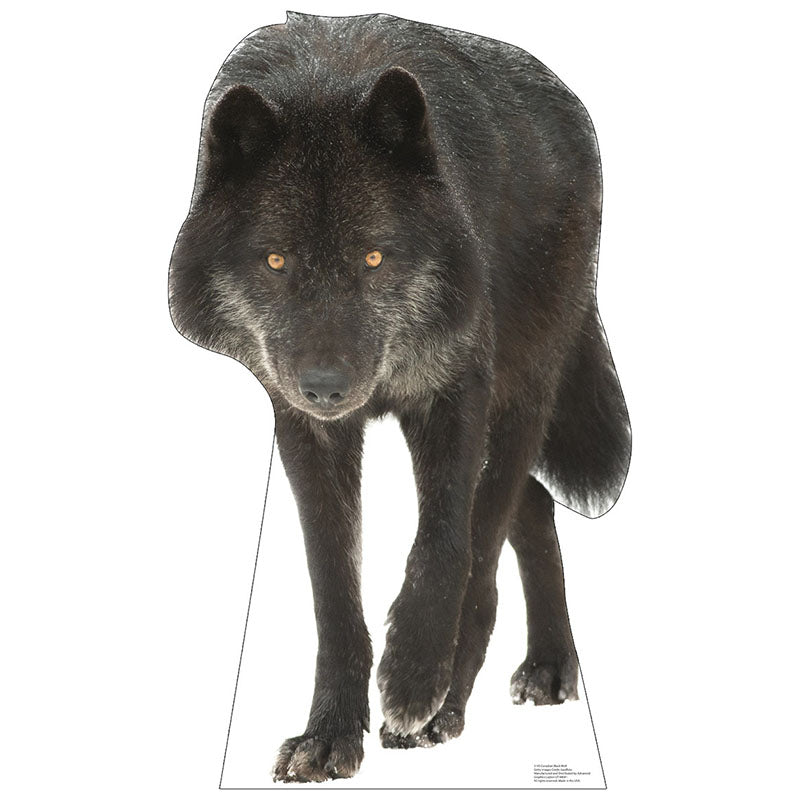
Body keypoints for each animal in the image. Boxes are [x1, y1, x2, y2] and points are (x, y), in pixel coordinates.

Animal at [169, 11, 631, 782]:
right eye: (276, 261)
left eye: (374, 258)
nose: (327, 385)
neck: (324, 81)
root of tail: (572, 106)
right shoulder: (303, 427)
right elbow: (333, 590)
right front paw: (330, 734)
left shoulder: (454, 394)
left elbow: (446, 549)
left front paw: (414, 680)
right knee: (533, 506)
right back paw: (547, 663)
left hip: (519, 397)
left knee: (493, 535)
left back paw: (456, 700)